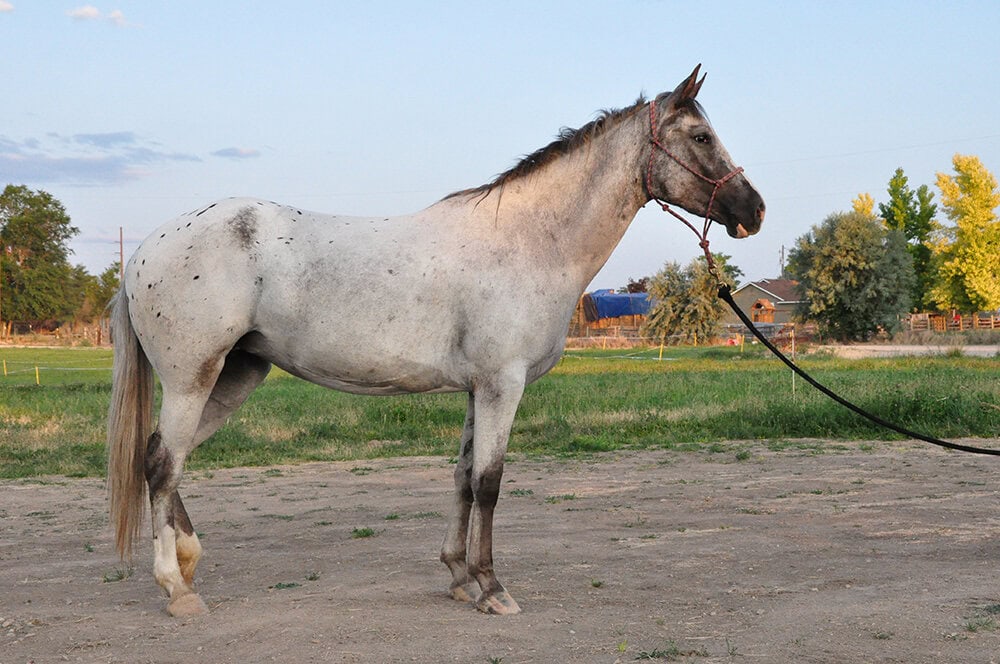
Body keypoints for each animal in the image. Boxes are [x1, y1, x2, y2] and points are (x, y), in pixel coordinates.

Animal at [107, 65, 765, 617]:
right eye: (701, 137)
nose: (753, 210)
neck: (527, 241)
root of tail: (142, 251)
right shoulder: (503, 384)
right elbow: (489, 484)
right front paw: (493, 589)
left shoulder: (479, 388)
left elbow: (462, 478)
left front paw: (459, 576)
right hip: (193, 378)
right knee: (163, 463)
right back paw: (177, 590)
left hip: (235, 376)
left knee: (167, 459)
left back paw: (189, 562)